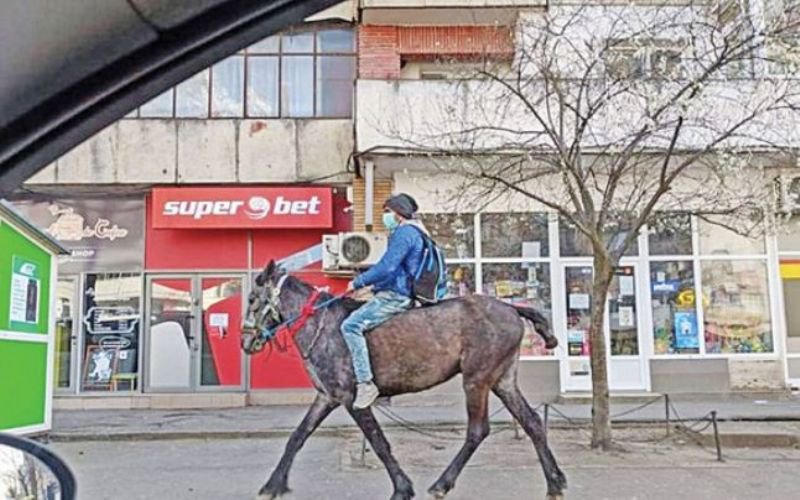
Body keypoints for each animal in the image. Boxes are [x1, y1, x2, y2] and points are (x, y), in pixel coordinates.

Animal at [241, 262, 564, 500]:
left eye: (252, 299)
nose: (245, 342)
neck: (322, 326)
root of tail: (511, 308)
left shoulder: (351, 399)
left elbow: (378, 442)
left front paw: (402, 488)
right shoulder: (327, 397)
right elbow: (298, 436)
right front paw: (272, 485)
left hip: (476, 381)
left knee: (477, 430)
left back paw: (442, 484)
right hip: (502, 381)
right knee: (532, 422)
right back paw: (555, 482)